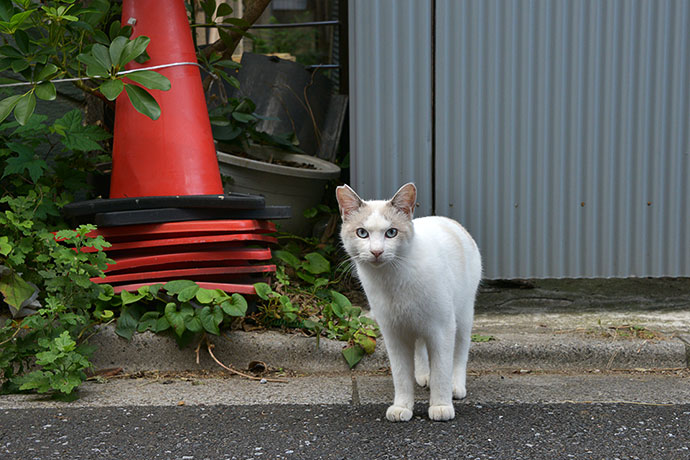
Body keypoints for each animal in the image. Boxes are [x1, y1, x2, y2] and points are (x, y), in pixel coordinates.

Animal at [334, 182, 478, 420]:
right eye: (362, 233)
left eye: (391, 233)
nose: (376, 251)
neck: (391, 279)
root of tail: (449, 220)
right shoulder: (394, 334)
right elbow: (401, 376)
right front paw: (402, 407)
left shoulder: (442, 329)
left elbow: (442, 371)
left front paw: (440, 405)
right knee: (420, 347)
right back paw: (423, 375)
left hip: (463, 316)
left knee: (459, 354)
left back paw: (456, 386)